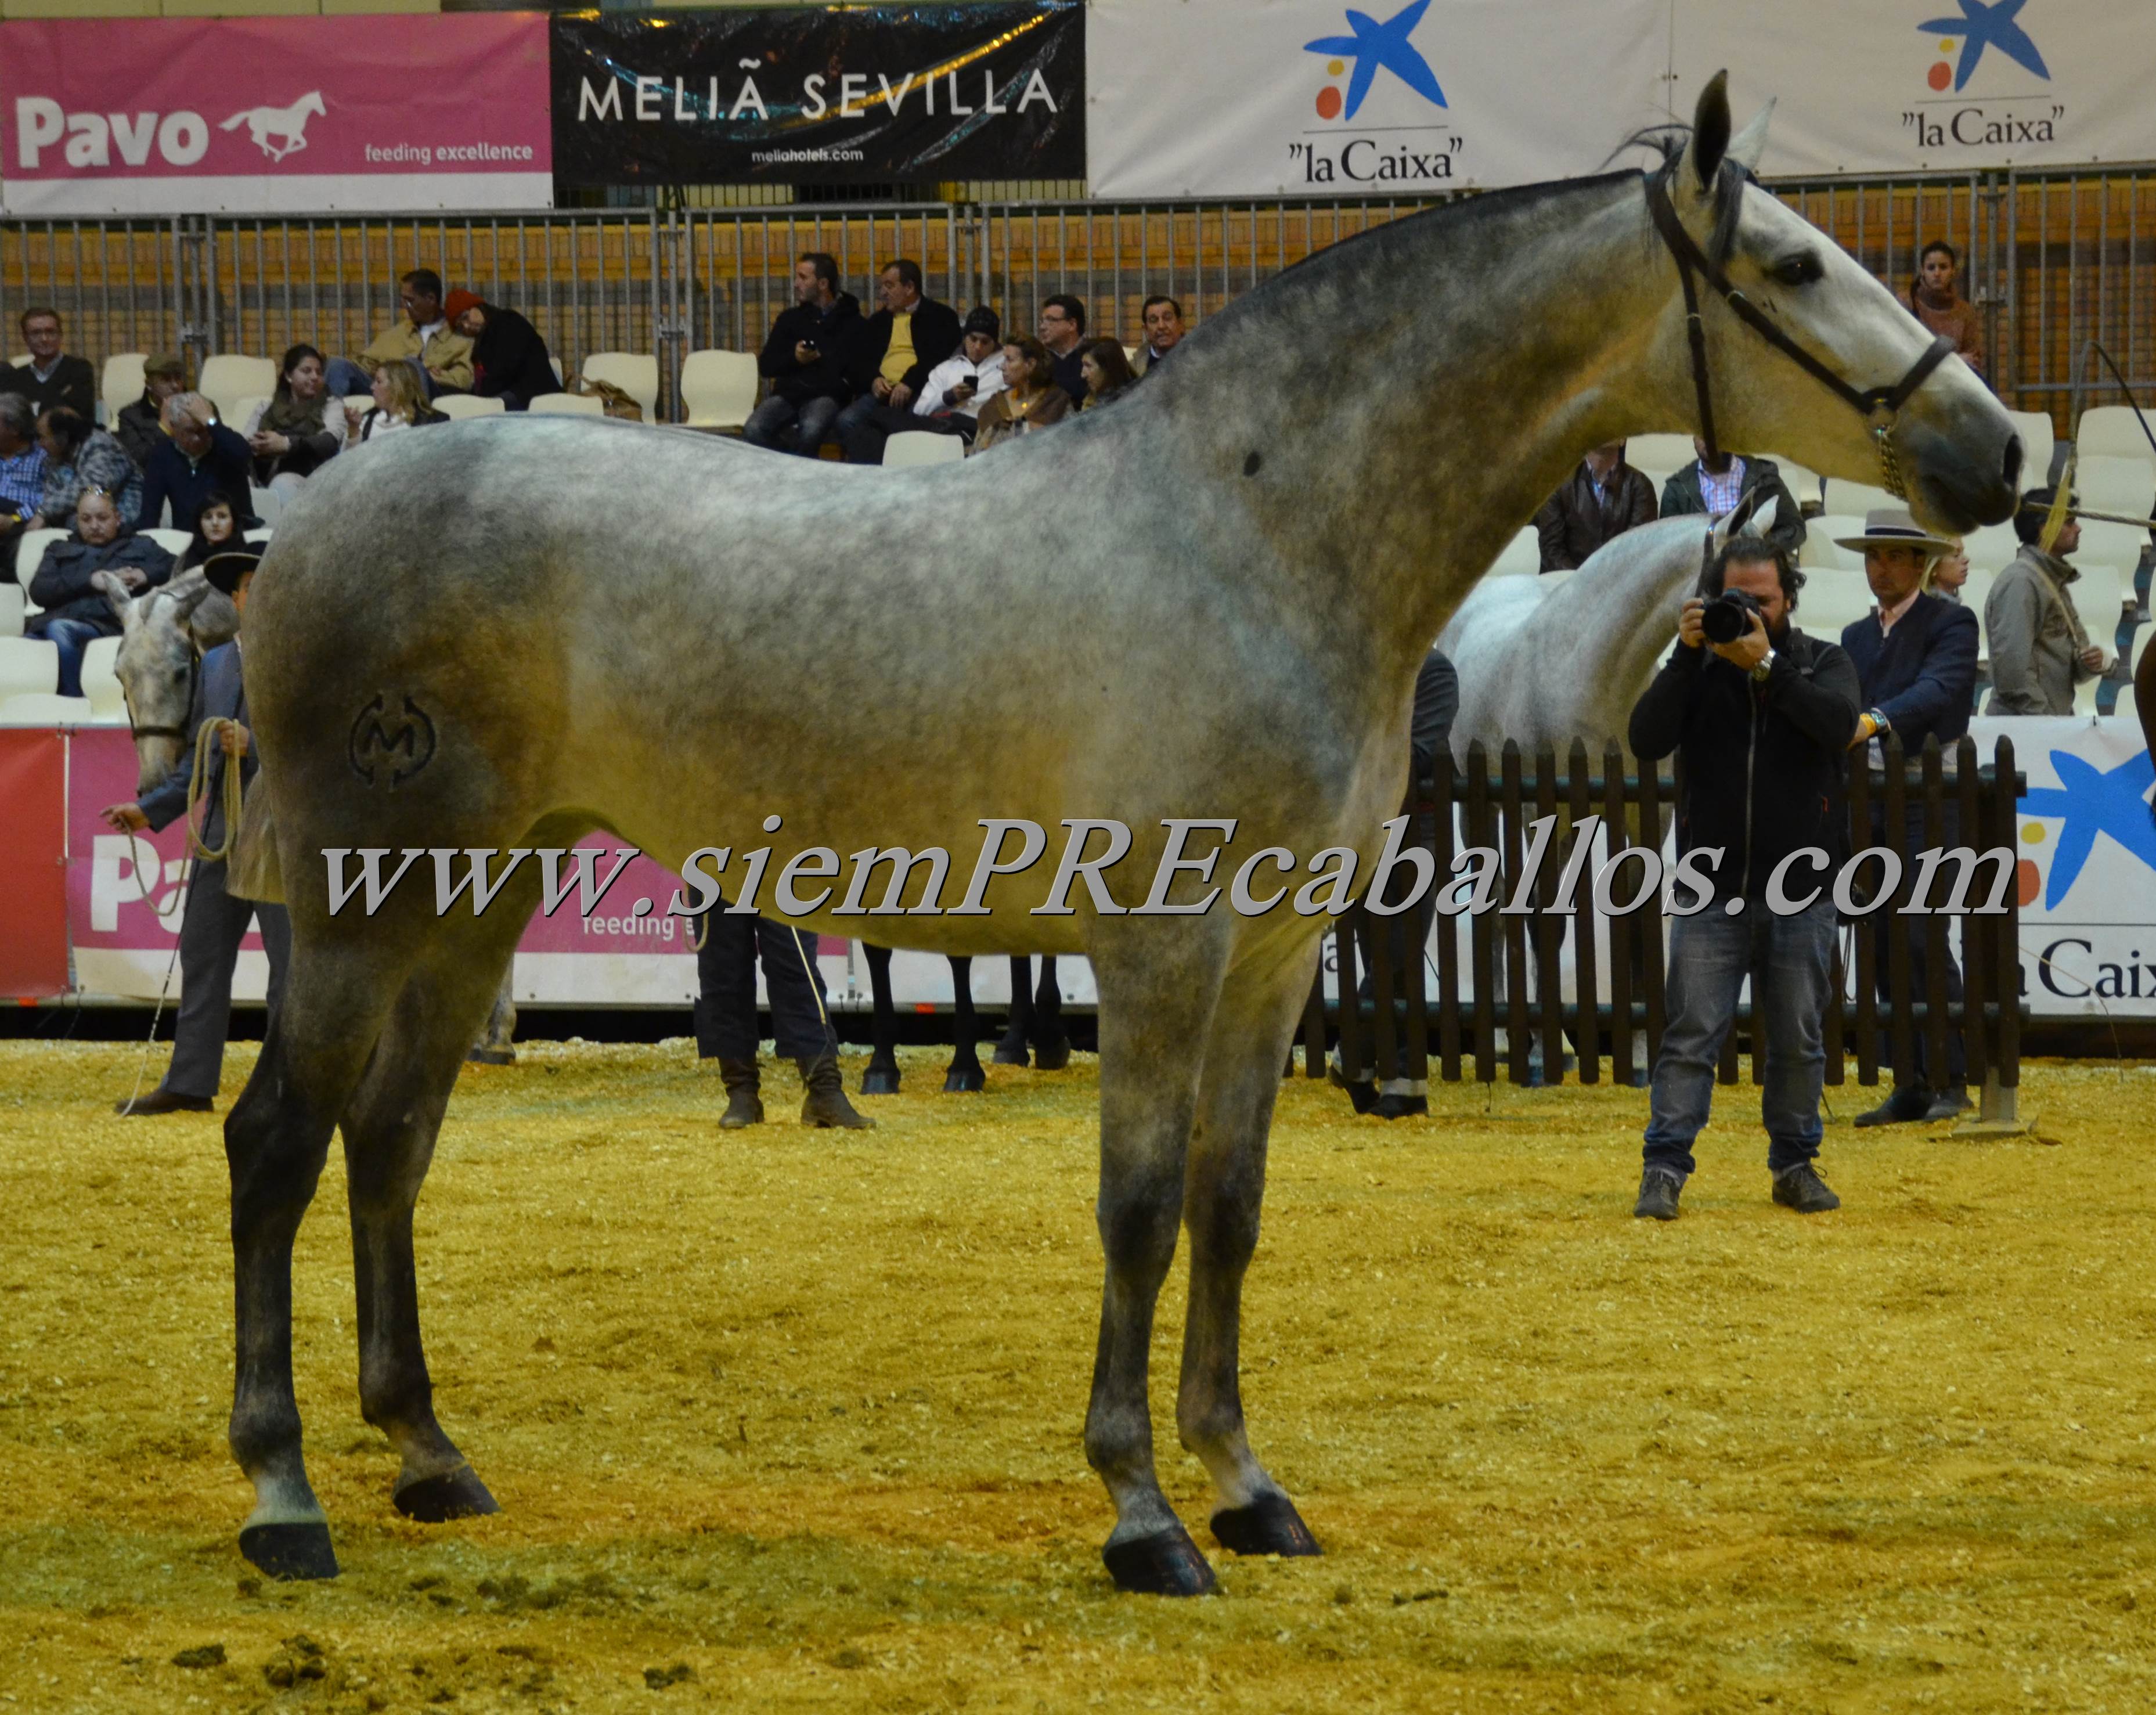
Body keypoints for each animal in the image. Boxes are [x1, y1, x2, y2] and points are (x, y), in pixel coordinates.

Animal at [219, 92, 323, 164]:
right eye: (319, 102)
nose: (324, 113)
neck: (297, 114)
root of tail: (250, 114)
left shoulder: (297, 134)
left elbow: (303, 144)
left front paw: (280, 155)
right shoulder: (293, 134)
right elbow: (289, 146)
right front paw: (279, 157)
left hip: (260, 131)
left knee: (256, 139)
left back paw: (268, 152)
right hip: (262, 131)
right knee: (259, 140)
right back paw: (272, 152)